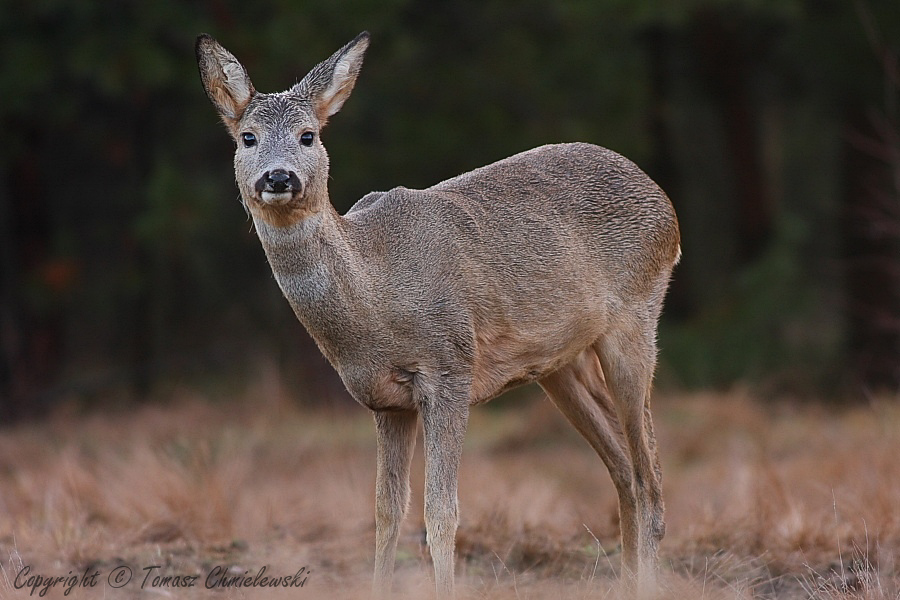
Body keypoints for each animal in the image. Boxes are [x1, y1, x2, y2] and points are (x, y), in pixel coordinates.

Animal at [193, 30, 680, 596]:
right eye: (247, 137)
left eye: (308, 135)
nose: (278, 177)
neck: (376, 295)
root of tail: (664, 202)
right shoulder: (385, 401)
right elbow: (386, 511)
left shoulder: (450, 370)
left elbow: (441, 512)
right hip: (560, 363)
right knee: (623, 470)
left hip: (637, 315)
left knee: (649, 478)